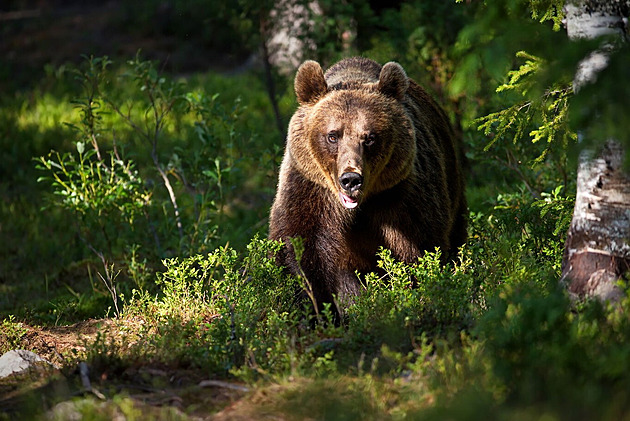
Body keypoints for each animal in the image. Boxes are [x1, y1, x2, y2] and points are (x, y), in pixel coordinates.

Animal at [270, 55, 466, 314]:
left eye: (370, 137)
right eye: (332, 135)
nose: (351, 179)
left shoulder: (403, 196)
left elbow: (420, 249)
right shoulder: (310, 189)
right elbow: (301, 250)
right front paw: (314, 307)